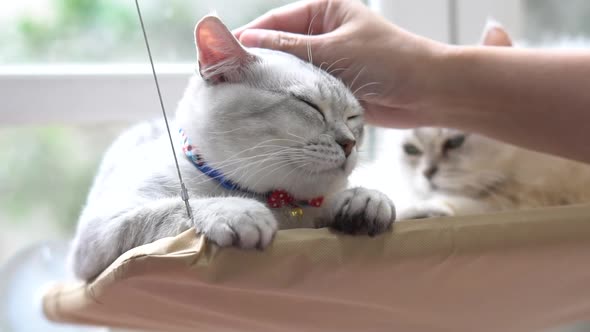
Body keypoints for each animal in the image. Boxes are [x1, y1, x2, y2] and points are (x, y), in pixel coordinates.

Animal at [70, 14, 398, 280]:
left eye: (353, 117)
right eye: (309, 105)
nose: (349, 143)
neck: (279, 206)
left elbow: (327, 203)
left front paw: (363, 199)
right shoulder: (98, 231)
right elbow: (174, 207)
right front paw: (237, 210)